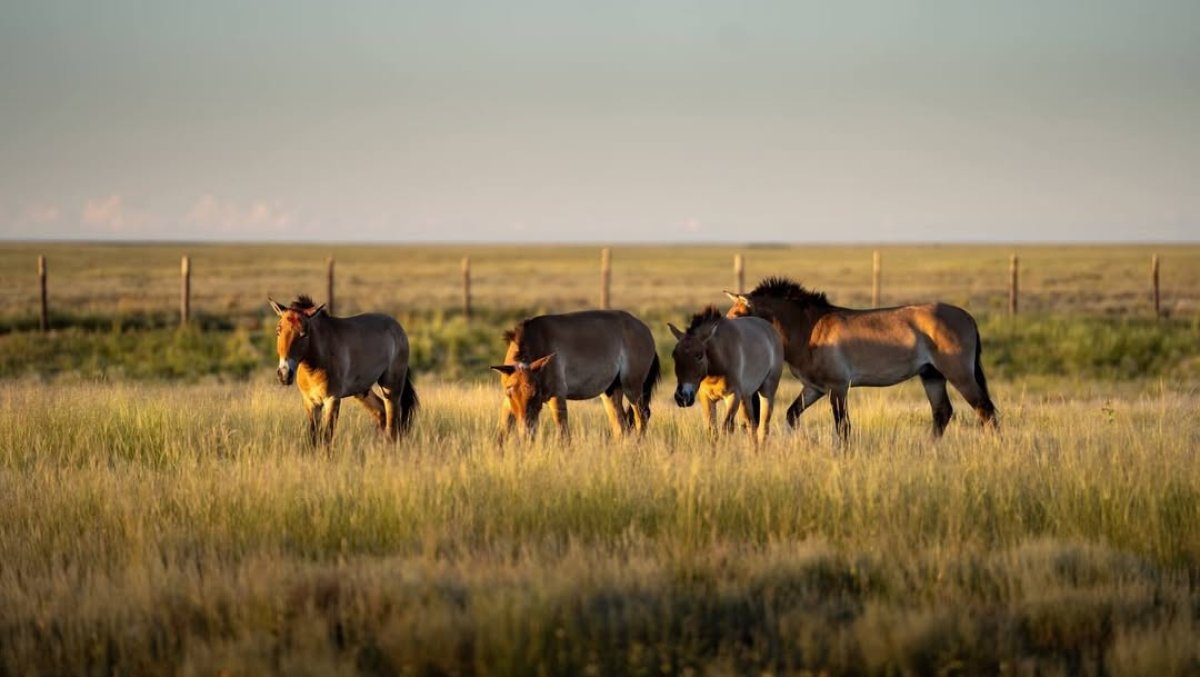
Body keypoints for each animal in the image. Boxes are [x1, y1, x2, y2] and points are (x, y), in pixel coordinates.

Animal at [269, 295, 418, 446]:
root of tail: (397, 328)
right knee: (381, 413)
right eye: (278, 331)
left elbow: (327, 437)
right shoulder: (311, 403)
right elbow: (314, 438)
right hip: (363, 391)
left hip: (391, 388)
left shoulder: (332, 400)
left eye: (304, 334)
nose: (284, 374)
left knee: (393, 425)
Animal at [490, 310, 660, 442]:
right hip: (611, 392)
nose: (525, 432)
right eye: (510, 394)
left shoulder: (557, 396)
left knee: (641, 418)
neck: (538, 342)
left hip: (632, 388)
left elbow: (563, 434)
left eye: (535, 394)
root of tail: (645, 330)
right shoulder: (507, 403)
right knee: (621, 425)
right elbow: (501, 433)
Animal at [668, 306, 784, 444]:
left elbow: (726, 428)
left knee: (763, 427)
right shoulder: (706, 398)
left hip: (767, 392)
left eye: (699, 355)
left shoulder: (733, 396)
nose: (682, 397)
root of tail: (772, 330)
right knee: (751, 426)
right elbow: (712, 431)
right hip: (746, 397)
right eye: (674, 355)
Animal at [725, 276, 997, 441]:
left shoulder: (838, 388)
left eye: (738, 314)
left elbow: (843, 427)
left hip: (959, 375)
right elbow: (792, 415)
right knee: (942, 413)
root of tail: (968, 317)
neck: (810, 329)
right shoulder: (814, 388)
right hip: (932, 375)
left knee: (986, 412)